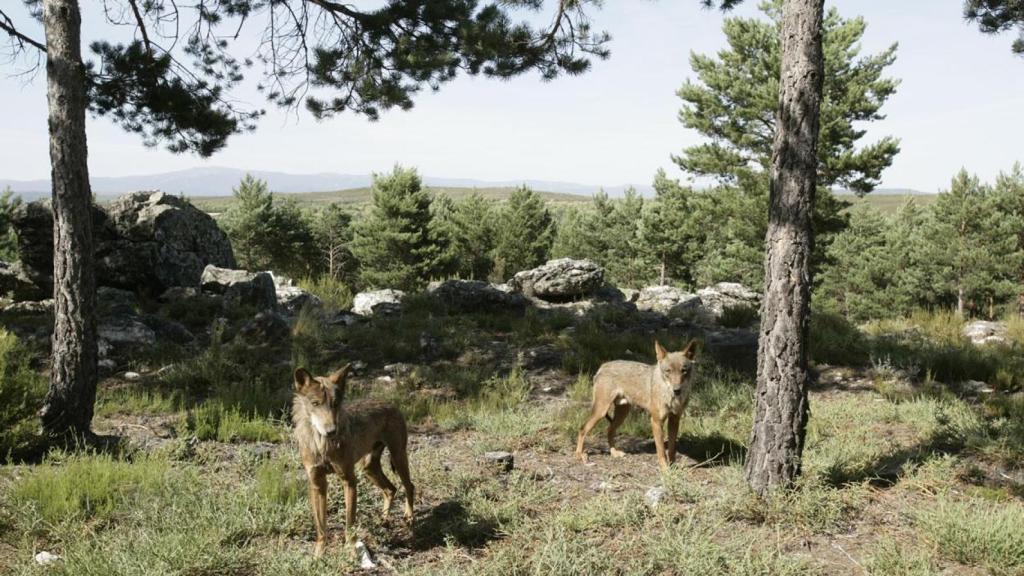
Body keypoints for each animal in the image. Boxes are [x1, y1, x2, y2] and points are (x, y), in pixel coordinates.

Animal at [292, 365, 415, 557]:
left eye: (335, 404)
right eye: (315, 404)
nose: (332, 431)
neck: (322, 446)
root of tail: (389, 403)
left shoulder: (349, 480)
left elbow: (349, 522)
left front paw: (350, 549)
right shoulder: (317, 484)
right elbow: (321, 527)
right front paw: (318, 555)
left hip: (398, 457)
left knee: (409, 486)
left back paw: (409, 517)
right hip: (369, 469)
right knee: (391, 489)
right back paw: (383, 521)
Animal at [575, 340, 698, 470]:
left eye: (683, 370)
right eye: (668, 371)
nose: (677, 390)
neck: (670, 396)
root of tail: (602, 366)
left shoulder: (674, 420)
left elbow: (671, 449)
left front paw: (673, 466)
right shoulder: (656, 421)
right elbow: (661, 451)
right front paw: (665, 469)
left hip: (621, 415)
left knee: (609, 430)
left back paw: (614, 453)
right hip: (601, 412)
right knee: (582, 429)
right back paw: (579, 455)